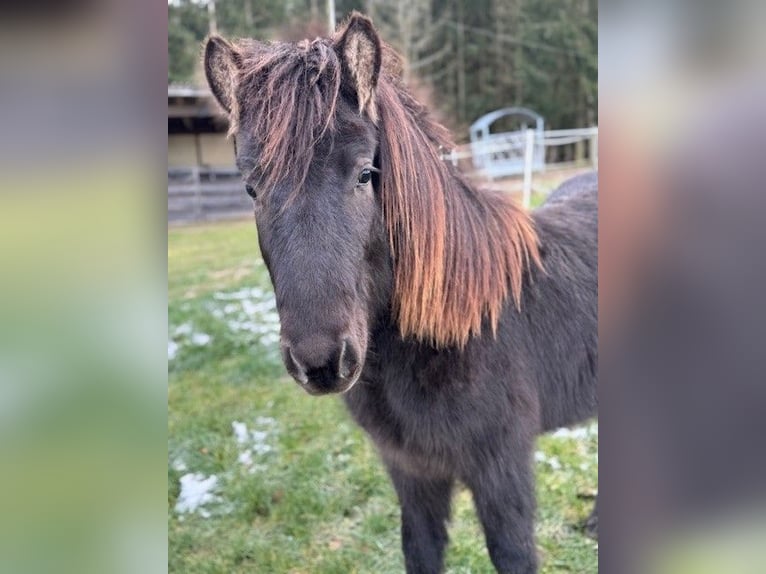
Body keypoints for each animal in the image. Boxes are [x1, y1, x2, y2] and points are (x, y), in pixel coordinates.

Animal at [206, 11, 600, 572]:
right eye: (250, 188)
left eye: (366, 173)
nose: (321, 363)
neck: (458, 327)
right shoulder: (411, 473)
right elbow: (420, 549)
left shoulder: (502, 472)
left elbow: (513, 553)